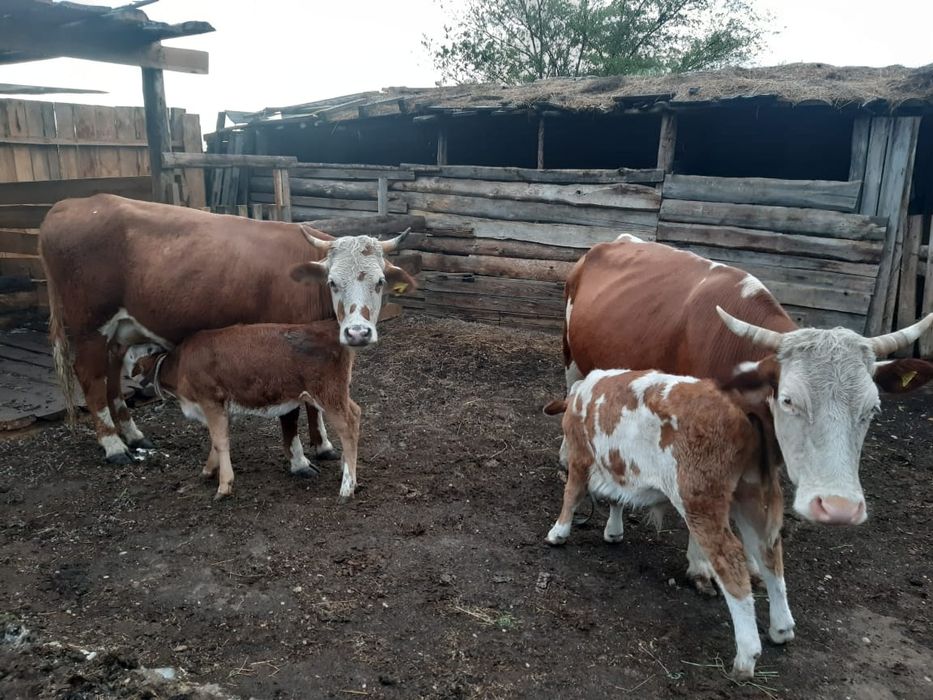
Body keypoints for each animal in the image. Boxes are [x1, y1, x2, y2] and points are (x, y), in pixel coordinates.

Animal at [38, 195, 416, 465]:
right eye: (333, 282)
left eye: (380, 282)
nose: (357, 334)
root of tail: (70, 204)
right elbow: (293, 409)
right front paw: (299, 459)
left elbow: (314, 403)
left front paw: (322, 444)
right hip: (89, 325)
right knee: (90, 377)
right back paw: (113, 445)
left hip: (120, 327)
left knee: (113, 374)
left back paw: (132, 434)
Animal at [127, 318, 360, 501]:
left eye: (130, 374)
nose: (128, 402)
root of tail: (329, 327)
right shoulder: (222, 409)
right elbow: (216, 440)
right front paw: (208, 470)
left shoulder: (211, 401)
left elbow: (220, 442)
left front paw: (224, 486)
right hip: (337, 393)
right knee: (356, 413)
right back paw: (347, 470)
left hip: (328, 393)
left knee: (347, 427)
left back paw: (346, 487)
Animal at [543, 367, 790, 679]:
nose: (561, 458)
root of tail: (739, 404)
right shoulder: (618, 465)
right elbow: (616, 498)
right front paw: (613, 531)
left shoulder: (581, 458)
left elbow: (572, 495)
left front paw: (558, 532)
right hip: (752, 496)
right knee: (769, 553)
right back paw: (781, 628)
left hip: (701, 500)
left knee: (731, 560)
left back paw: (747, 655)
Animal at [563, 237, 933, 590]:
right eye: (788, 400)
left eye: (872, 408)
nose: (838, 507)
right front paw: (700, 567)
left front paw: (754, 565)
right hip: (573, 361)